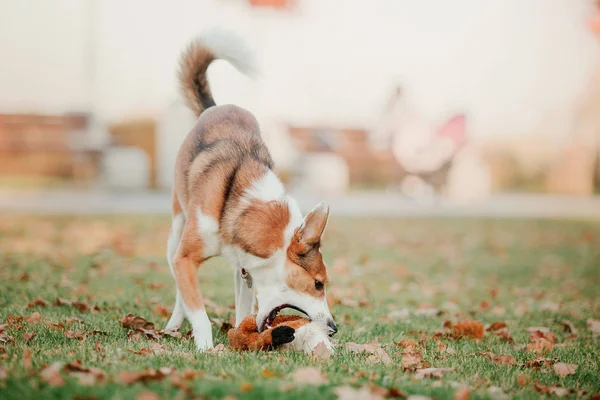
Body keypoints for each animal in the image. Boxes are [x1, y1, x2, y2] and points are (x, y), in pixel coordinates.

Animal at [164, 32, 338, 350]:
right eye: (318, 284)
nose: (333, 328)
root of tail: (215, 107)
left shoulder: (245, 272)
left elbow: (245, 309)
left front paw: (242, 337)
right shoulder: (186, 257)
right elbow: (198, 312)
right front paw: (205, 348)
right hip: (176, 232)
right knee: (180, 287)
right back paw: (174, 322)